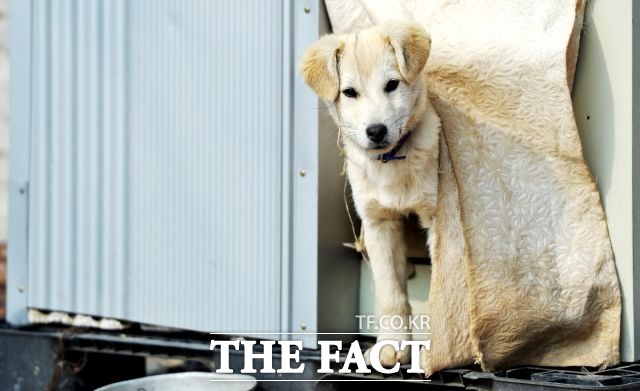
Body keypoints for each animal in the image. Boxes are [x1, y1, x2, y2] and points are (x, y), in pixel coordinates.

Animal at [300, 23, 440, 370]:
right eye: (350, 92)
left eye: (392, 85)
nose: (375, 131)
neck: (393, 164)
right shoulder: (378, 224)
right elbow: (391, 295)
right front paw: (392, 345)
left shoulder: (440, 219)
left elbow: (442, 290)